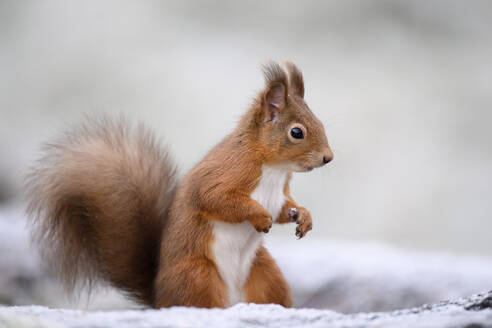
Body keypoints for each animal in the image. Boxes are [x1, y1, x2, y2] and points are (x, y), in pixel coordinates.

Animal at [27, 60, 334, 308]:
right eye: (297, 132)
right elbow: (217, 199)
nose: (328, 158)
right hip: (197, 276)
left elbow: (285, 208)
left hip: (266, 274)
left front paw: (303, 217)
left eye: (320, 122)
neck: (273, 170)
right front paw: (259, 216)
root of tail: (159, 299)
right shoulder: (225, 174)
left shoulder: (279, 195)